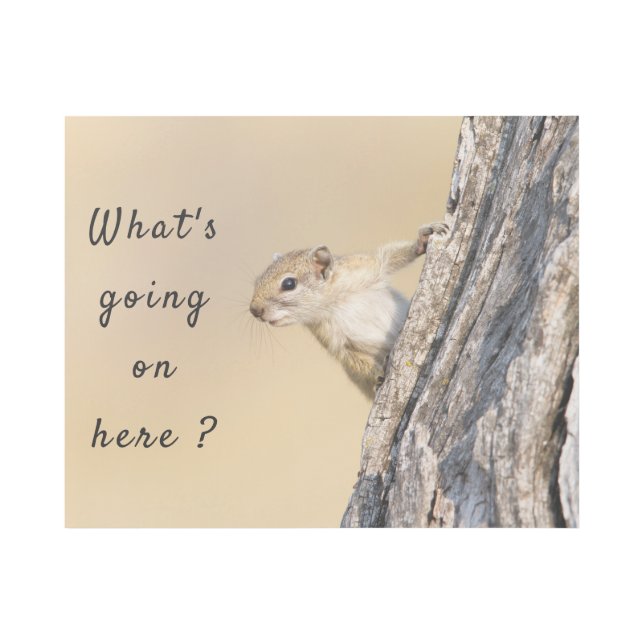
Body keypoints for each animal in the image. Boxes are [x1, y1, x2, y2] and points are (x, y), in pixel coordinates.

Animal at [249, 223, 449, 399]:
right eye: (258, 280)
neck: (334, 301)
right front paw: (378, 374)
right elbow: (353, 359)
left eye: (289, 283)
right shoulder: (333, 340)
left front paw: (424, 238)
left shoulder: (365, 267)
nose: (254, 310)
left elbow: (389, 258)